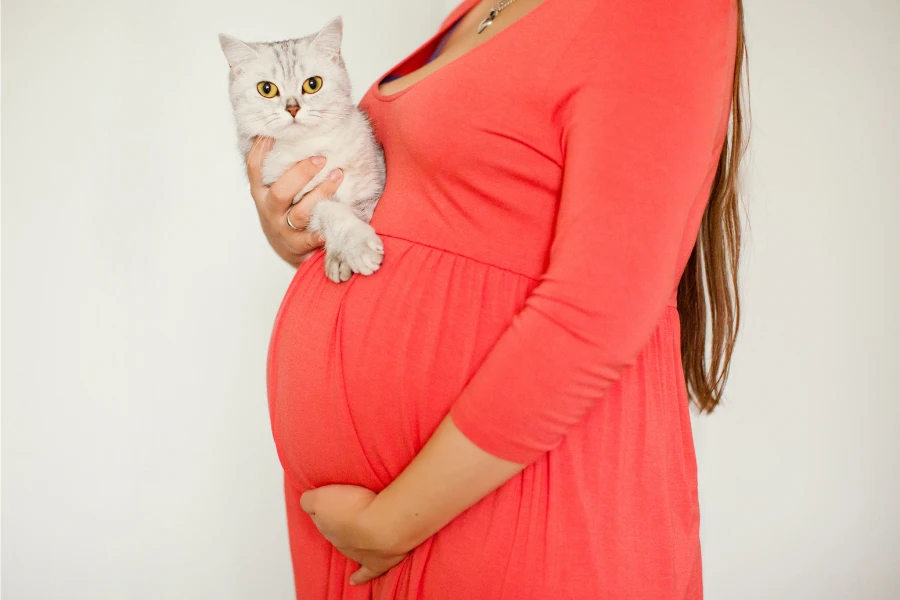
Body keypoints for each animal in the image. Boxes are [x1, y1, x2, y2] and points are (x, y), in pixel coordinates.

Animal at [221, 16, 386, 284]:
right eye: (266, 89)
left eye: (312, 84)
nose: (292, 107)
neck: (311, 146)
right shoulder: (303, 202)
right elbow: (331, 211)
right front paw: (352, 248)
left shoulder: (373, 182)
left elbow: (362, 209)